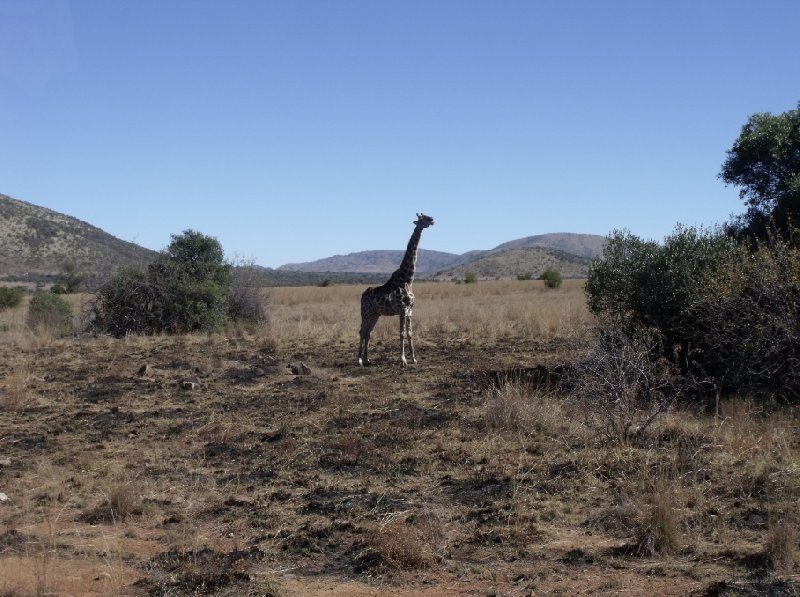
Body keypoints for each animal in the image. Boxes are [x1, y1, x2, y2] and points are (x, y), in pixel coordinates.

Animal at [358, 212, 434, 366]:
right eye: (423, 218)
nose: (432, 220)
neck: (408, 279)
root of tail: (362, 295)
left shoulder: (410, 310)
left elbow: (410, 333)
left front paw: (414, 359)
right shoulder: (402, 309)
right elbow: (401, 333)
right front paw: (403, 360)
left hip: (375, 314)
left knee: (368, 332)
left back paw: (367, 359)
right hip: (365, 312)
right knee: (362, 331)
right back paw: (359, 360)